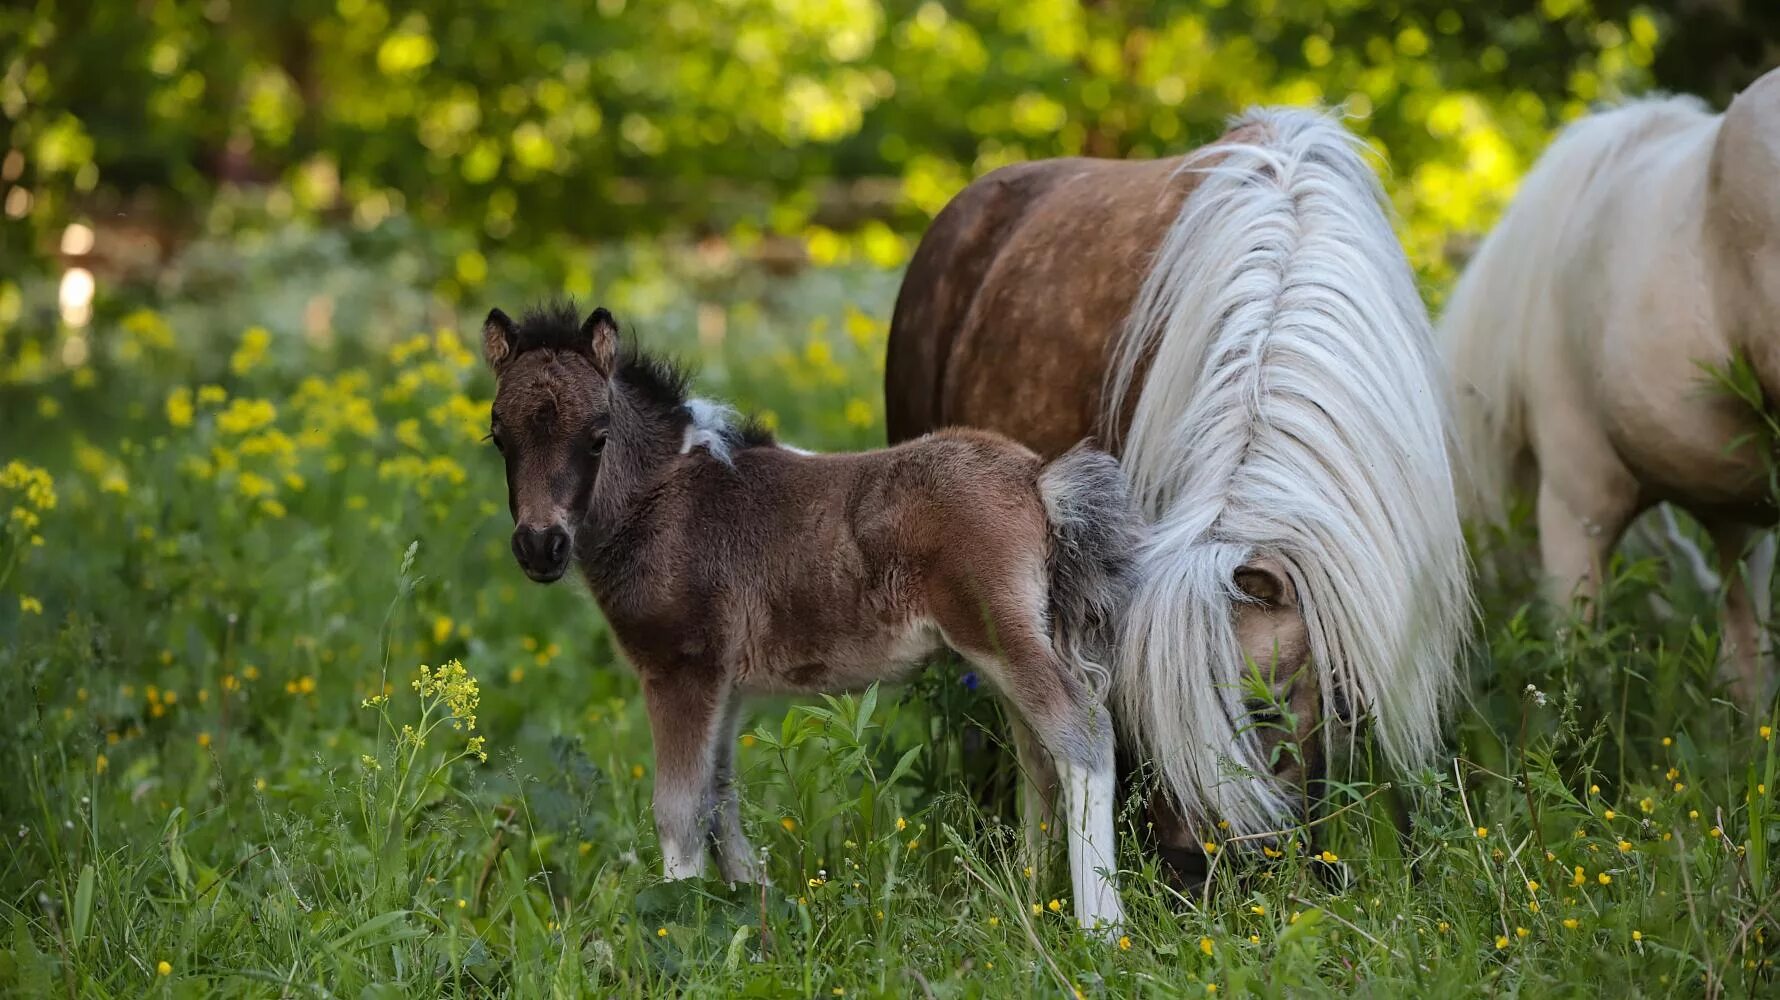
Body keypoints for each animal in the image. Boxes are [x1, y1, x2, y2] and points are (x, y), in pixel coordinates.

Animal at [480, 302, 1139, 925]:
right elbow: (719, 798)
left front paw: (680, 919)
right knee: (1038, 758)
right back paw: (1026, 898)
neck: (664, 498)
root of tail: (1038, 479)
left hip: (996, 633)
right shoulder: (724, 682)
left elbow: (679, 809)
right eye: (498, 436)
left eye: (598, 435)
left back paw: (1099, 928)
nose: (540, 546)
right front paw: (760, 910)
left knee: (1078, 734)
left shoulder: (679, 667)